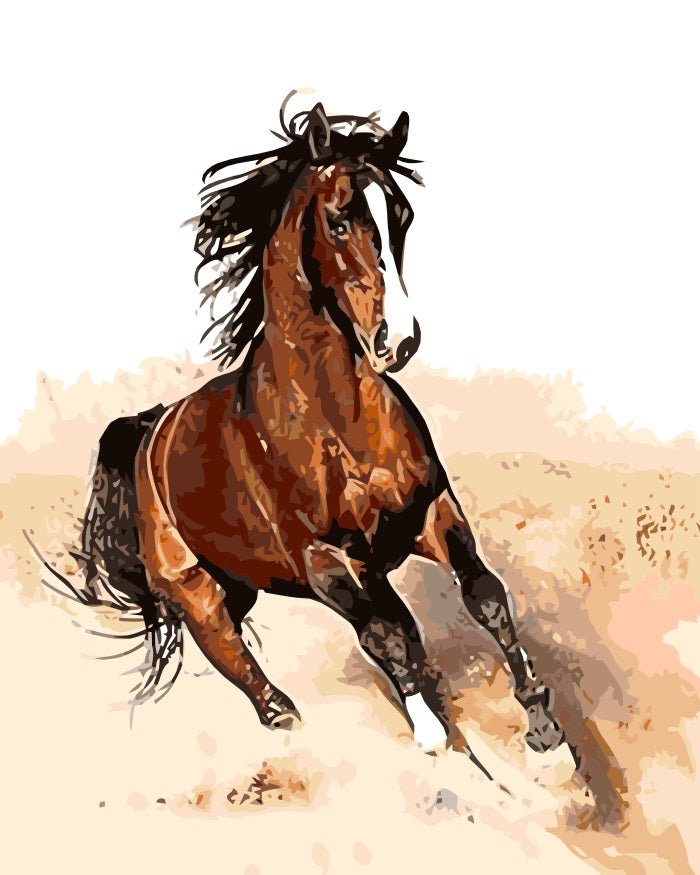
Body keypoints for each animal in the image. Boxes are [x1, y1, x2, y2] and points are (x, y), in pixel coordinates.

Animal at [74, 101, 566, 761]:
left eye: (403, 217)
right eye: (338, 222)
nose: (398, 340)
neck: (335, 424)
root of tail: (152, 429)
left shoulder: (429, 513)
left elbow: (484, 597)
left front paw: (541, 721)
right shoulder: (325, 561)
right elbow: (390, 632)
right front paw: (432, 732)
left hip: (246, 581)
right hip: (195, 586)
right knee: (224, 644)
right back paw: (282, 713)